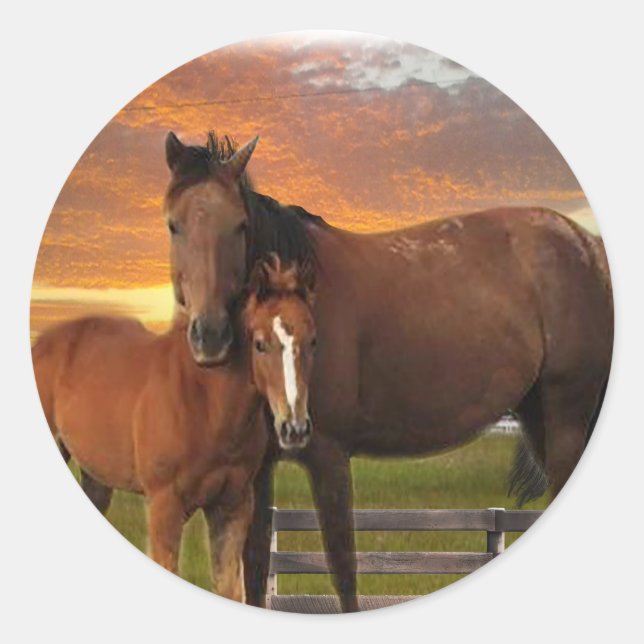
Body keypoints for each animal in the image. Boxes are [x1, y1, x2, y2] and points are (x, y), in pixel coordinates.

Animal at [32, 254, 317, 602]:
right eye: (260, 344)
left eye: (313, 340)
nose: (295, 428)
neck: (207, 406)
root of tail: (43, 343)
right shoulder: (164, 507)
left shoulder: (232, 507)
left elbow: (230, 588)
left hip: (96, 478)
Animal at [161, 131, 613, 612]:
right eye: (174, 224)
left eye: (240, 225)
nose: (211, 335)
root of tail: (585, 246)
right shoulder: (259, 471)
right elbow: (255, 568)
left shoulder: (329, 454)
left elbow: (343, 569)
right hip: (537, 416)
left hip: (566, 415)